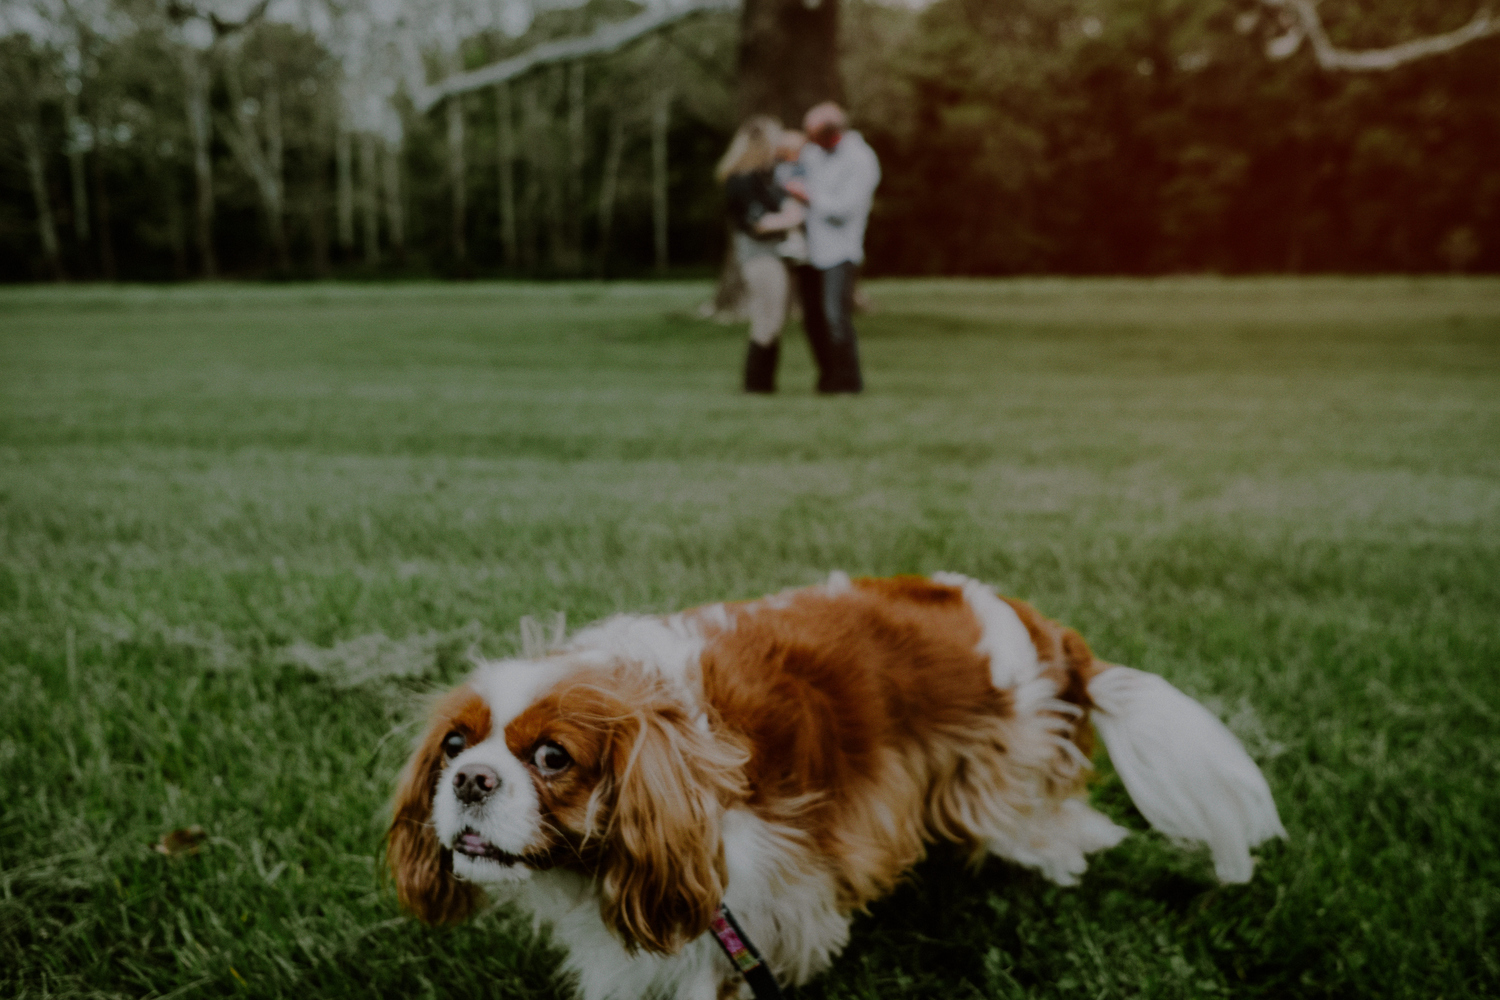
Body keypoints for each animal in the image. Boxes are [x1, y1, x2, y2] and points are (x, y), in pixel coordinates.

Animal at [384, 569, 1278, 1000]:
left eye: (552, 759)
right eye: (455, 744)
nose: (469, 780)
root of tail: (1039, 626)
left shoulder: (751, 895)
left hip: (1003, 774)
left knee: (1063, 823)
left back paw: (1056, 860)